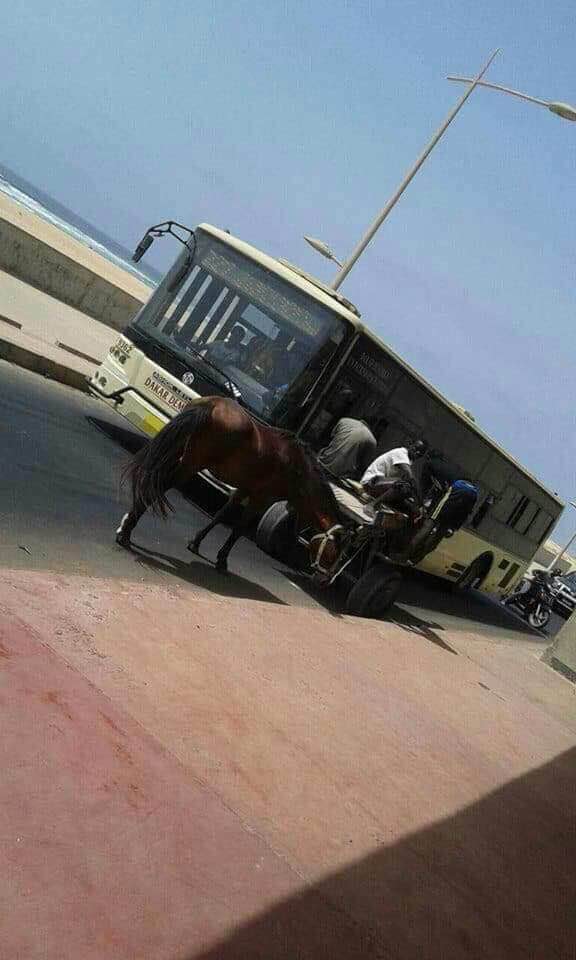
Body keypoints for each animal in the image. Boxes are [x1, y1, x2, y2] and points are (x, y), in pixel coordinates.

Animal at [116, 396, 342, 568]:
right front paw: (222, 560)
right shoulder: (261, 499)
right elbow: (238, 529)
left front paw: (196, 543)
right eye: (336, 553)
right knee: (160, 485)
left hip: (177, 453)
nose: (325, 577)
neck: (297, 467)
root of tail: (213, 404)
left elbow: (221, 515)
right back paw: (126, 530)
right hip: (189, 465)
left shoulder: (243, 490)